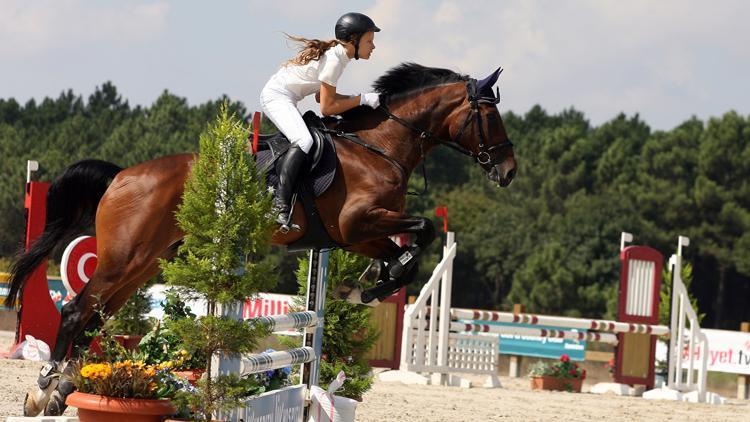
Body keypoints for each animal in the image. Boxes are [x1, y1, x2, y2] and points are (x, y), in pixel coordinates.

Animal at [7, 62, 516, 416]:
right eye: (490, 117)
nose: (508, 171)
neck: (380, 147)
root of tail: (120, 176)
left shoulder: (352, 234)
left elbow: (409, 245)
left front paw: (372, 282)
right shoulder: (357, 222)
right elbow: (424, 229)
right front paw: (375, 284)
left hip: (143, 263)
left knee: (95, 317)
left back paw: (60, 390)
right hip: (124, 257)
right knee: (77, 312)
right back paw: (46, 386)